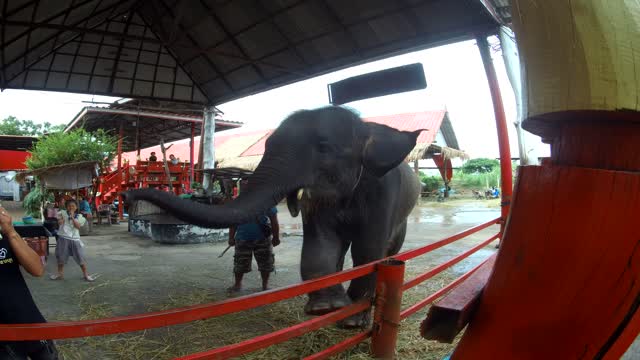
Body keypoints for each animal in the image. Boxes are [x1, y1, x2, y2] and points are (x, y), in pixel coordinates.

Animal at [125, 105, 424, 328]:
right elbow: (320, 245)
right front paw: (325, 308)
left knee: (387, 250)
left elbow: (368, 252)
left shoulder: (383, 194)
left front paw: (350, 321)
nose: (128, 197)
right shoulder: (317, 203)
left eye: (324, 147)